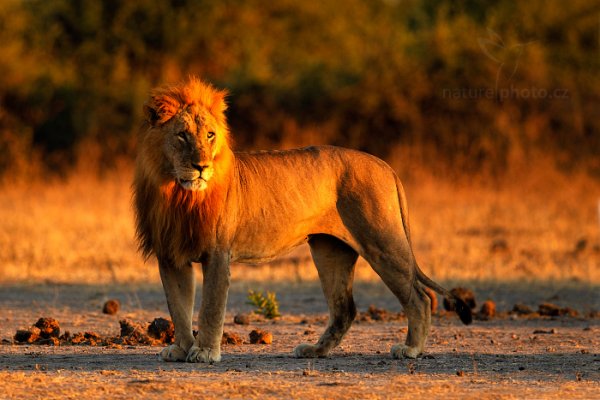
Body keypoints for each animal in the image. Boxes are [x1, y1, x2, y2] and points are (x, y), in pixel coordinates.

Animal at [134, 76, 472, 364]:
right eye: (181, 135)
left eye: (210, 135)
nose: (201, 166)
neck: (178, 194)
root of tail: (385, 165)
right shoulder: (170, 255)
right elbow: (178, 307)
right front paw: (181, 350)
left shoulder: (217, 253)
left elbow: (210, 308)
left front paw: (204, 352)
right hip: (330, 250)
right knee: (345, 308)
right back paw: (315, 350)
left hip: (382, 242)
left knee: (420, 297)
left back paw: (410, 349)